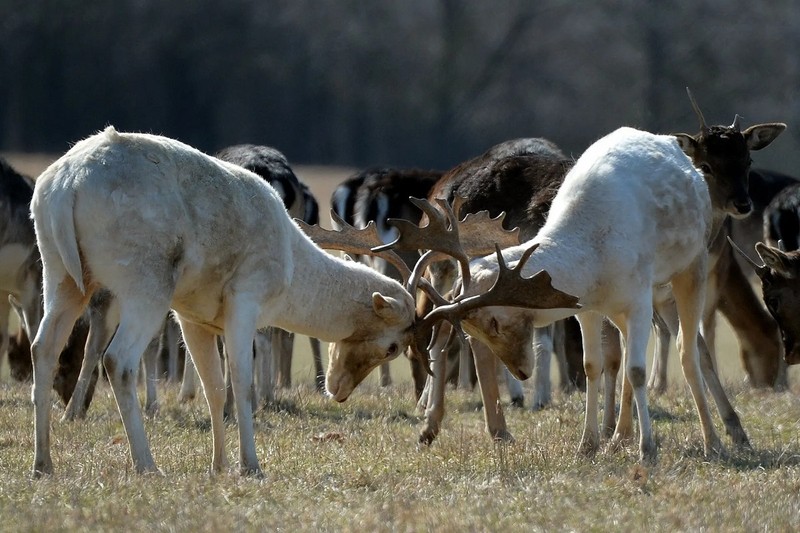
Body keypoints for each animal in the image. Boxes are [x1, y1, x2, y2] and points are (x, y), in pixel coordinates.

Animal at [26, 125, 576, 478]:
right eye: (395, 347)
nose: (337, 392)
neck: (290, 273)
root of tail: (63, 187)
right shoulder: (244, 297)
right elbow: (242, 384)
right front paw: (251, 466)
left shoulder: (193, 313)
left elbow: (213, 388)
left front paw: (218, 466)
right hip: (144, 279)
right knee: (117, 359)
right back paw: (146, 465)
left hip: (61, 272)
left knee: (42, 347)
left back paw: (43, 463)